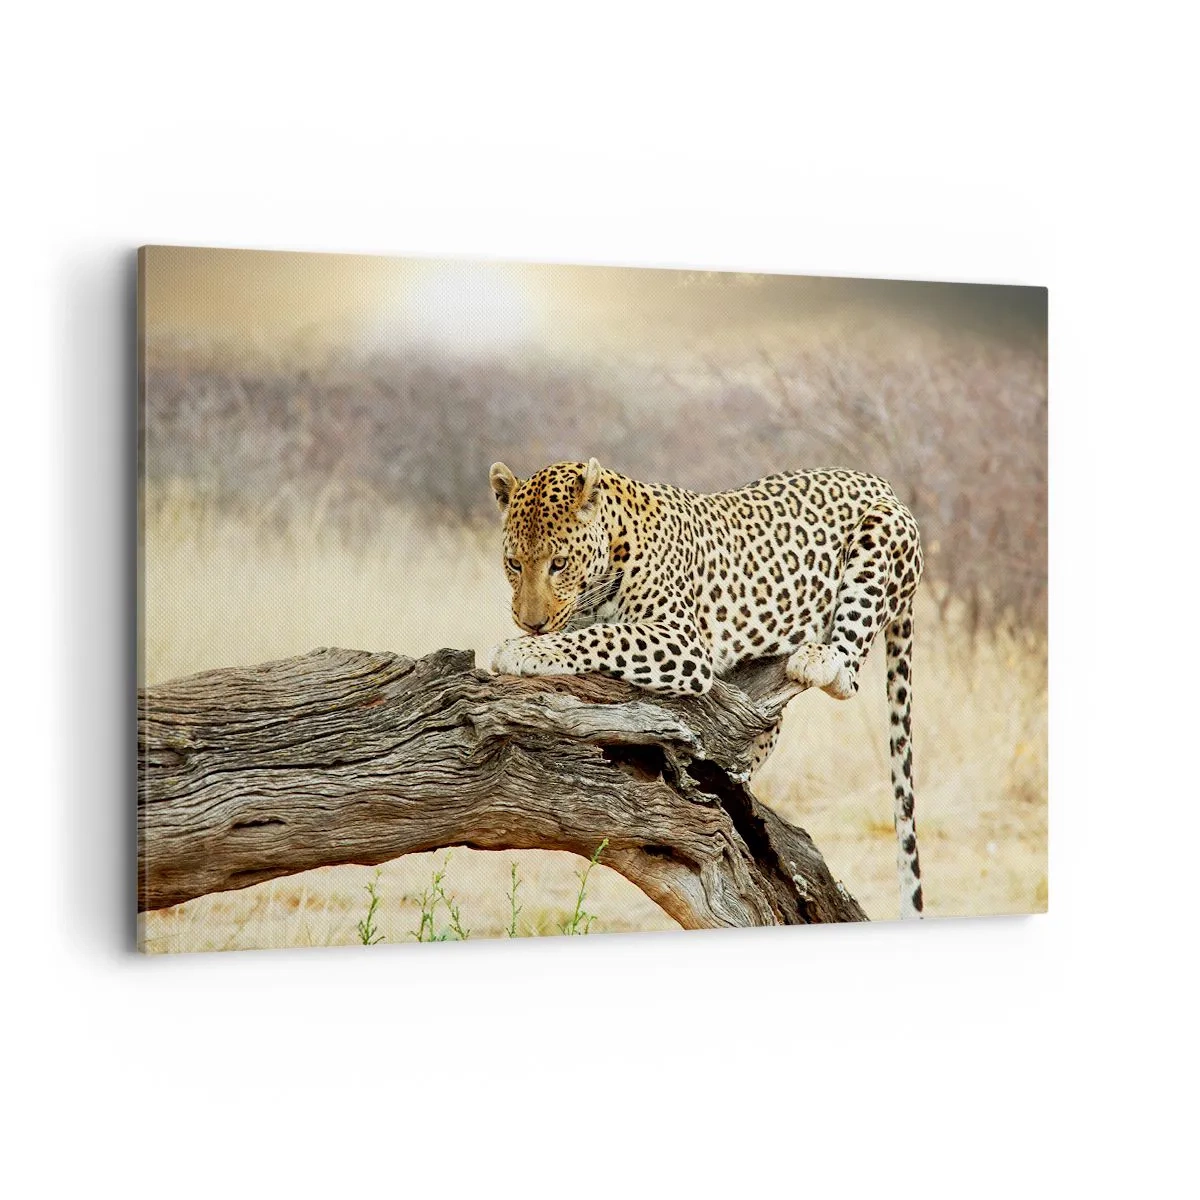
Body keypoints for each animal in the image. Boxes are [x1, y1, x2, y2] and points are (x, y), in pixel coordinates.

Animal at [485, 457, 925, 919]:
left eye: (559, 563)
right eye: (514, 564)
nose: (531, 623)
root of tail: (882, 484)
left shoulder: (682, 641)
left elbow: (604, 636)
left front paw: (522, 650)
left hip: (880, 534)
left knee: (848, 672)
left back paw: (818, 658)